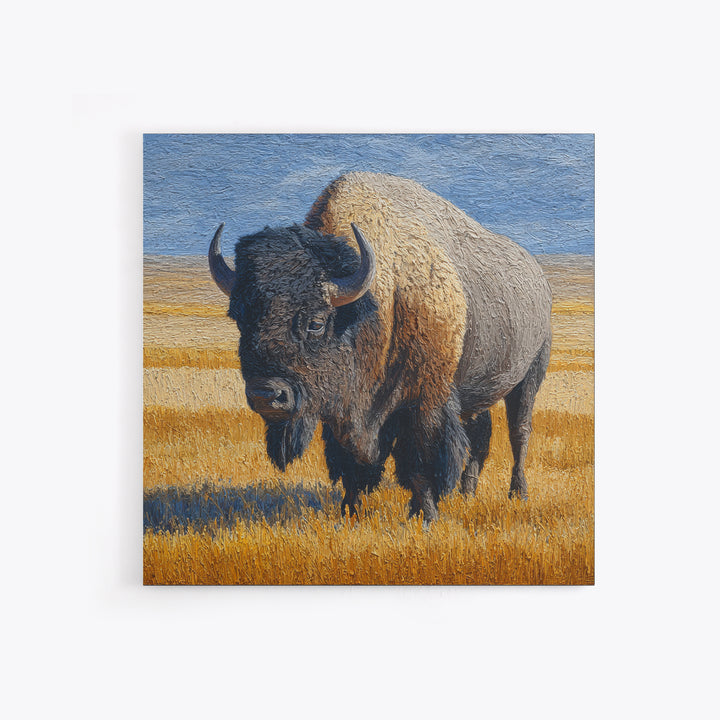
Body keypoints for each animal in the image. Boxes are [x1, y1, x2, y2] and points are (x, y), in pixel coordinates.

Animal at [208, 172, 552, 522]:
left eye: (316, 322)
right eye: (239, 317)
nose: (266, 395)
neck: (380, 300)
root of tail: (538, 277)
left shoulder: (425, 400)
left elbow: (419, 461)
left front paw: (426, 516)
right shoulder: (347, 412)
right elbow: (352, 463)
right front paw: (349, 512)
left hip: (529, 376)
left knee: (519, 432)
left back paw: (517, 493)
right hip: (476, 390)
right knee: (481, 434)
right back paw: (467, 492)